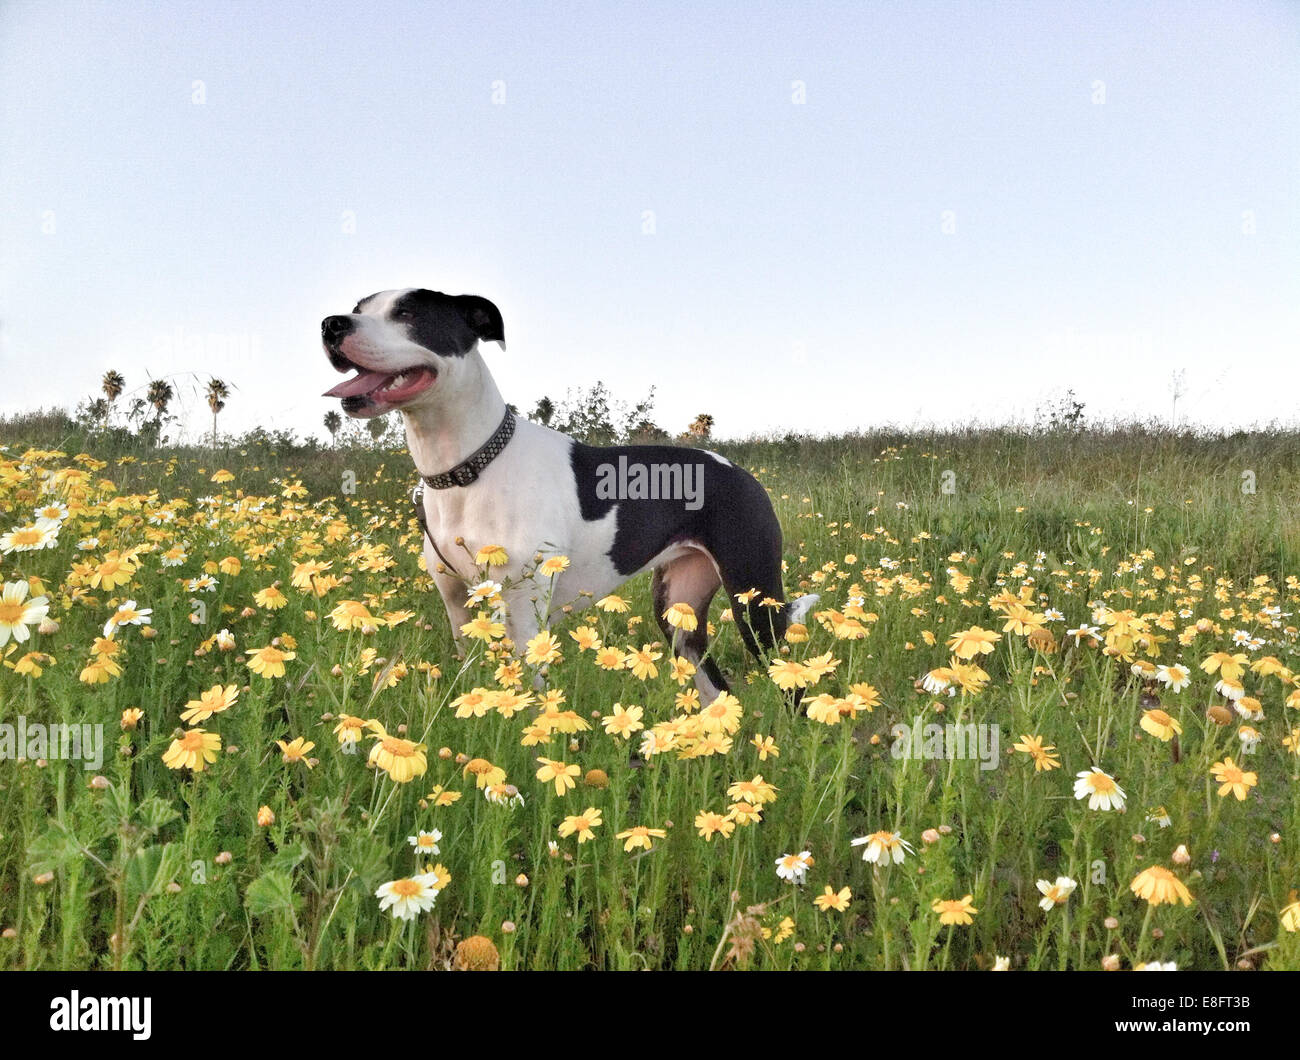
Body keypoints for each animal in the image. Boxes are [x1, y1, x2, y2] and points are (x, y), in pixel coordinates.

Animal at [321, 292, 816, 702]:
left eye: (408, 313)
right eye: (360, 307)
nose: (331, 324)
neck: (470, 467)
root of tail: (741, 472)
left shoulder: (523, 614)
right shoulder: (459, 607)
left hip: (754, 601)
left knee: (788, 684)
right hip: (679, 614)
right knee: (715, 688)